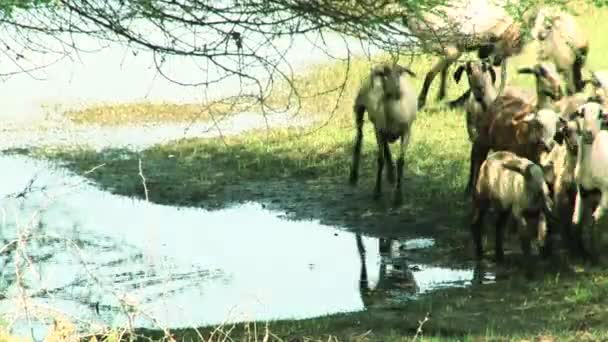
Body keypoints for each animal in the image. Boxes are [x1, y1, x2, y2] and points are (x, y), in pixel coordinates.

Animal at [352, 62, 418, 204]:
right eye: (385, 75)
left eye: (400, 73)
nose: (398, 90)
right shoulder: (380, 131)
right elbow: (380, 160)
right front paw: (377, 191)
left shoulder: (406, 132)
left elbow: (401, 161)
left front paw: (398, 196)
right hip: (360, 108)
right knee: (359, 136)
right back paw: (353, 175)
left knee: (386, 147)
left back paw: (391, 174)